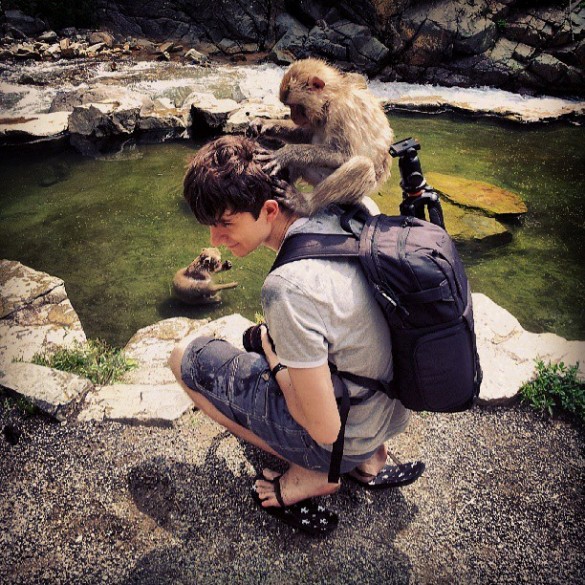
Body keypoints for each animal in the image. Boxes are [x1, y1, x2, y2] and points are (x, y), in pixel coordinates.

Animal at [249, 58, 394, 217]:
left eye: (295, 106)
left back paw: (304, 204)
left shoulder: (342, 112)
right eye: (289, 106)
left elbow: (344, 154)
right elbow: (306, 135)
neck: (331, 98)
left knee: (362, 165)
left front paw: (286, 153)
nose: (293, 117)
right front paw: (265, 124)